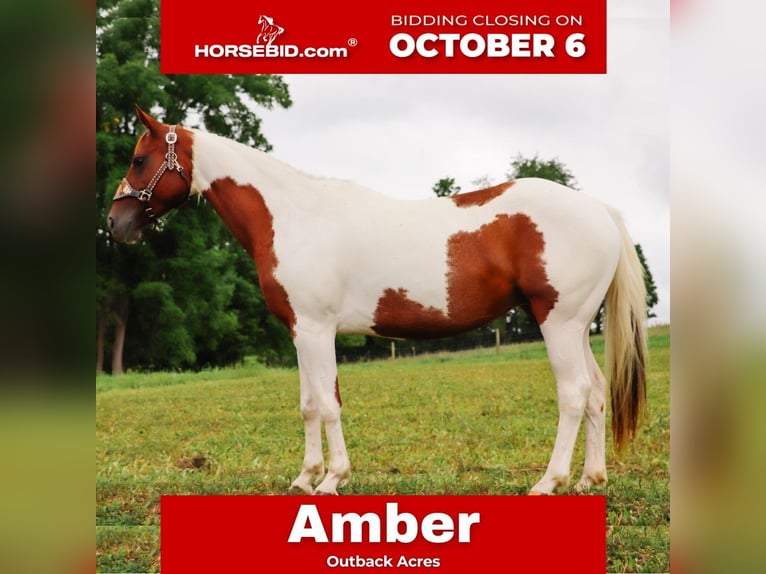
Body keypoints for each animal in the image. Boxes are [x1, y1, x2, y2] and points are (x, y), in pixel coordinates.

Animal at [107, 106, 648, 495]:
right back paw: (589, 480)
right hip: (576, 327)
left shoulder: (317, 329)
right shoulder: (300, 331)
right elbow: (308, 404)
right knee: (597, 393)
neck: (292, 215)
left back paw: (548, 483)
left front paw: (332, 479)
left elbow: (328, 404)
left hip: (558, 323)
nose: (115, 224)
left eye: (138, 160)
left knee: (574, 394)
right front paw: (305, 477)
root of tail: (599, 209)